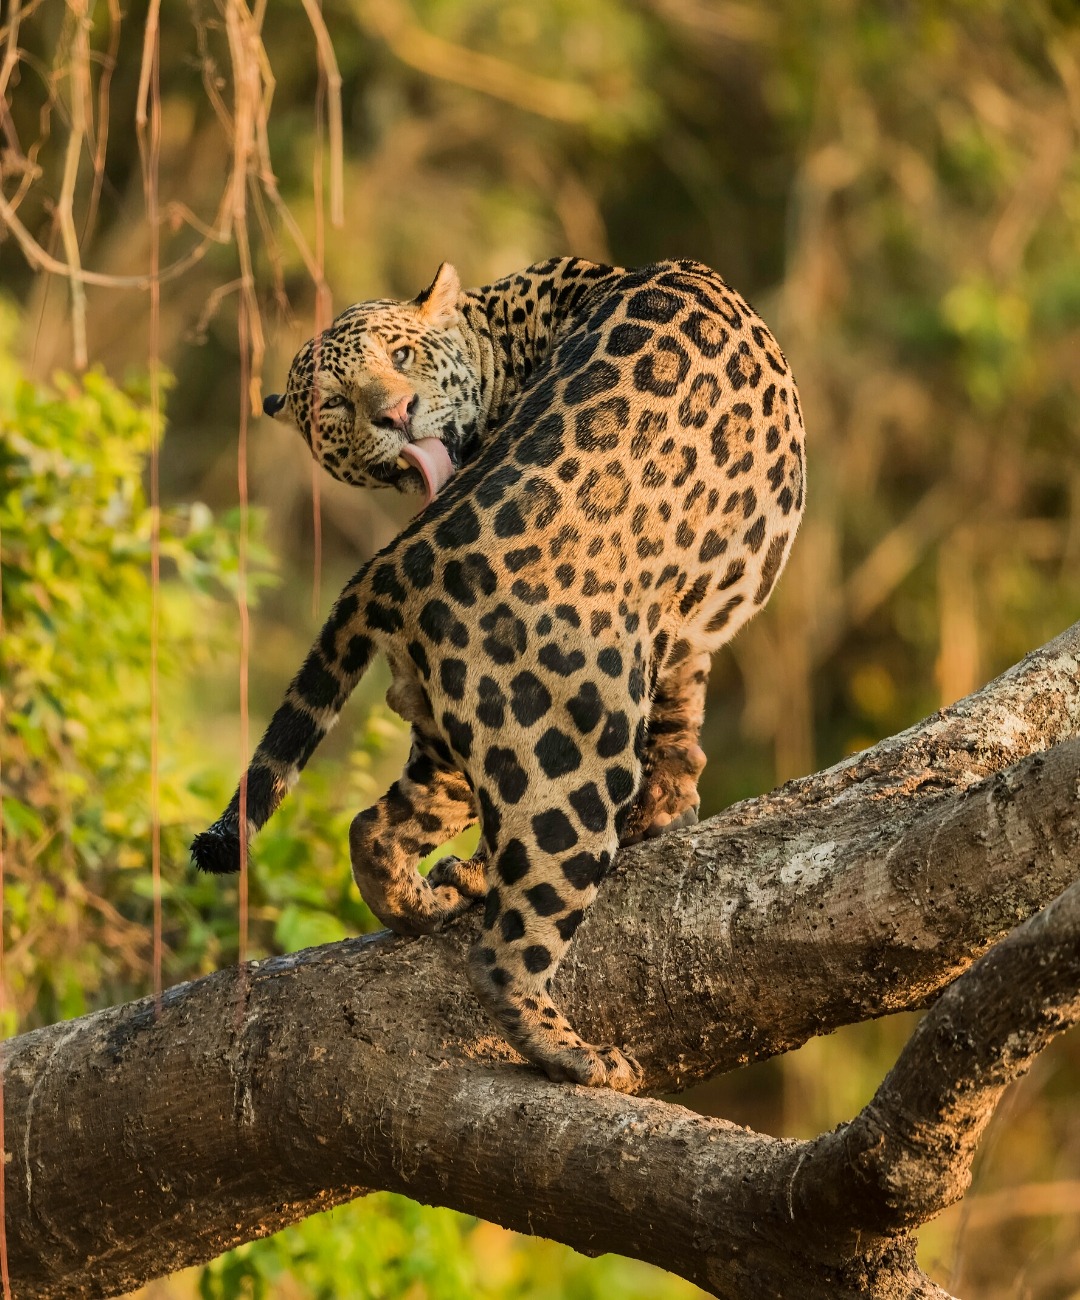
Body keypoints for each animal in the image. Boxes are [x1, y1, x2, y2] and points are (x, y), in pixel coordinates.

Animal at [191, 256, 806, 1093]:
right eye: (335, 404)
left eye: (402, 356)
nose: (397, 415)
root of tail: (391, 561)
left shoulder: (676, 626)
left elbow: (683, 703)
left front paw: (670, 800)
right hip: (574, 752)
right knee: (504, 945)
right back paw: (573, 1051)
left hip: (471, 726)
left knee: (374, 828)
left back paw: (422, 902)